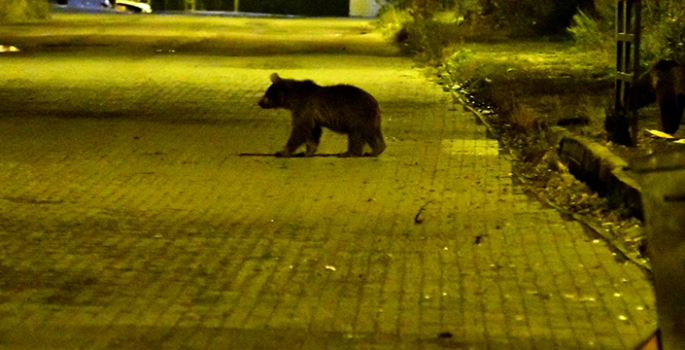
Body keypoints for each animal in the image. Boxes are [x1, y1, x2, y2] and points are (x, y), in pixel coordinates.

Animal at [256, 72, 384, 157]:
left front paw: (283, 151)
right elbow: (313, 131)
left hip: (357, 115)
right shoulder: (311, 115)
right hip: (370, 119)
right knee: (373, 134)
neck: (292, 100)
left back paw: (349, 153)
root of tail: (375, 103)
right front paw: (307, 151)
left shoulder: (304, 108)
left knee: (357, 134)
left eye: (267, 94)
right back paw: (376, 150)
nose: (259, 103)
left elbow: (300, 129)